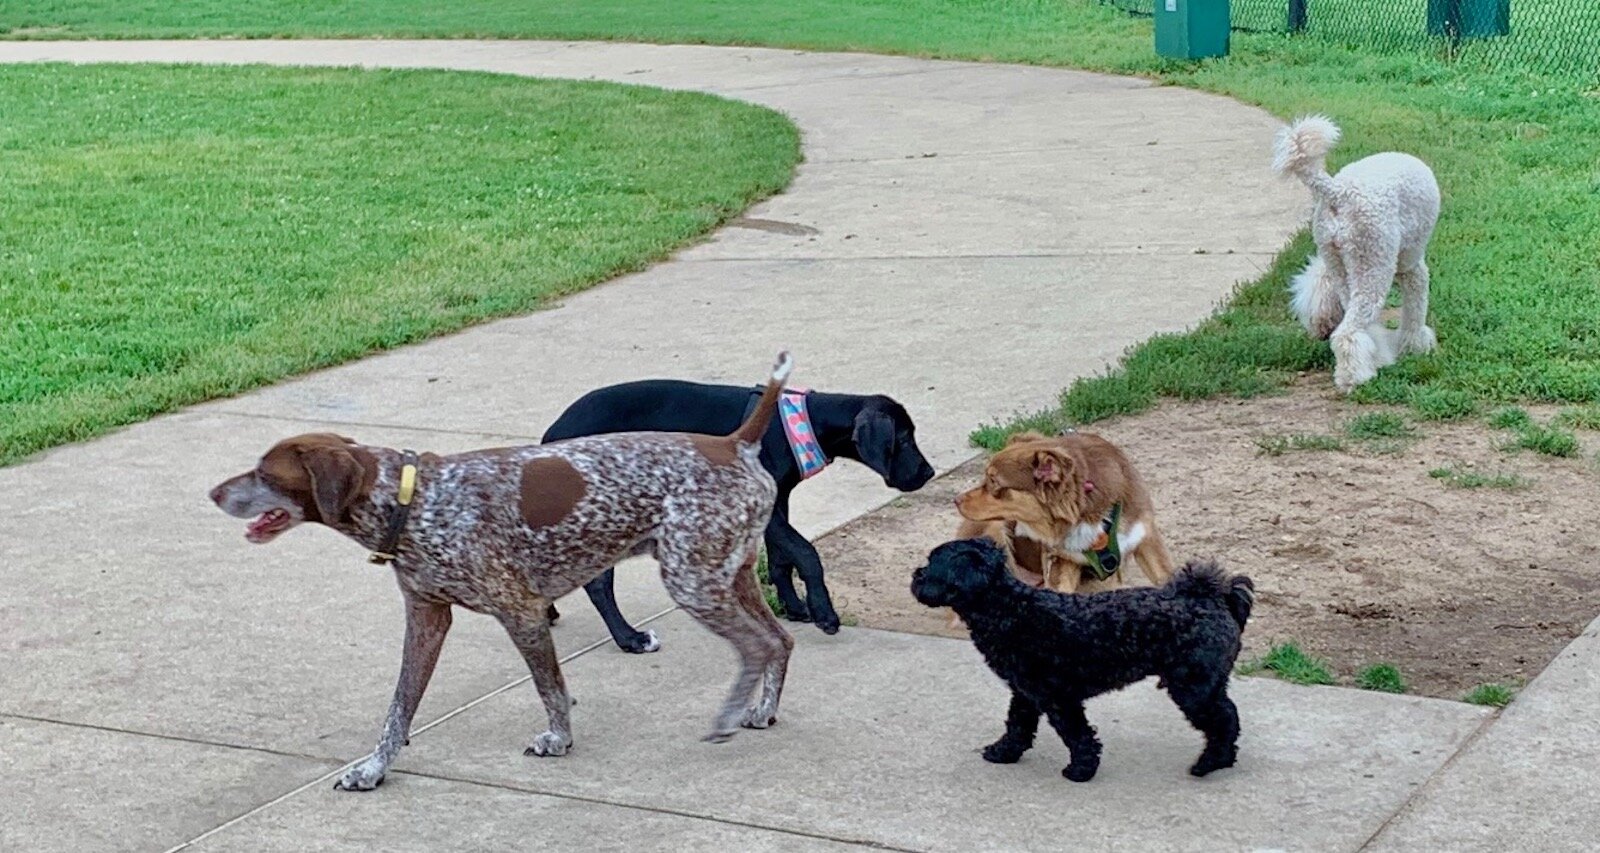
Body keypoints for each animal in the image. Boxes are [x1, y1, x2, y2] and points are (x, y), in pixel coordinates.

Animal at [212, 350, 800, 784]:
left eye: (265, 472)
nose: (213, 492)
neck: (413, 499)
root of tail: (735, 442)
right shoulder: (427, 619)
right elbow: (399, 707)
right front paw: (375, 767)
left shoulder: (521, 612)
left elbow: (550, 689)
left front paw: (559, 740)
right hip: (727, 574)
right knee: (781, 640)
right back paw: (760, 710)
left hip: (693, 581)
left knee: (759, 646)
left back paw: (727, 718)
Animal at [544, 376, 934, 649]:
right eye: (903, 439)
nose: (929, 473)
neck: (797, 424)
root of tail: (551, 437)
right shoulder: (769, 510)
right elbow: (807, 553)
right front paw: (823, 611)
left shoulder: (777, 504)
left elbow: (781, 559)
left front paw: (793, 606)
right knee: (598, 583)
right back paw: (629, 639)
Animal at [915, 537, 1248, 777]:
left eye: (932, 564)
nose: (915, 575)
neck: (1011, 610)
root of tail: (1211, 599)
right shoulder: (1025, 691)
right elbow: (1017, 725)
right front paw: (1003, 752)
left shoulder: (1057, 696)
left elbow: (1076, 734)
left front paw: (1081, 769)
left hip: (1194, 688)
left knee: (1224, 720)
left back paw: (1210, 763)